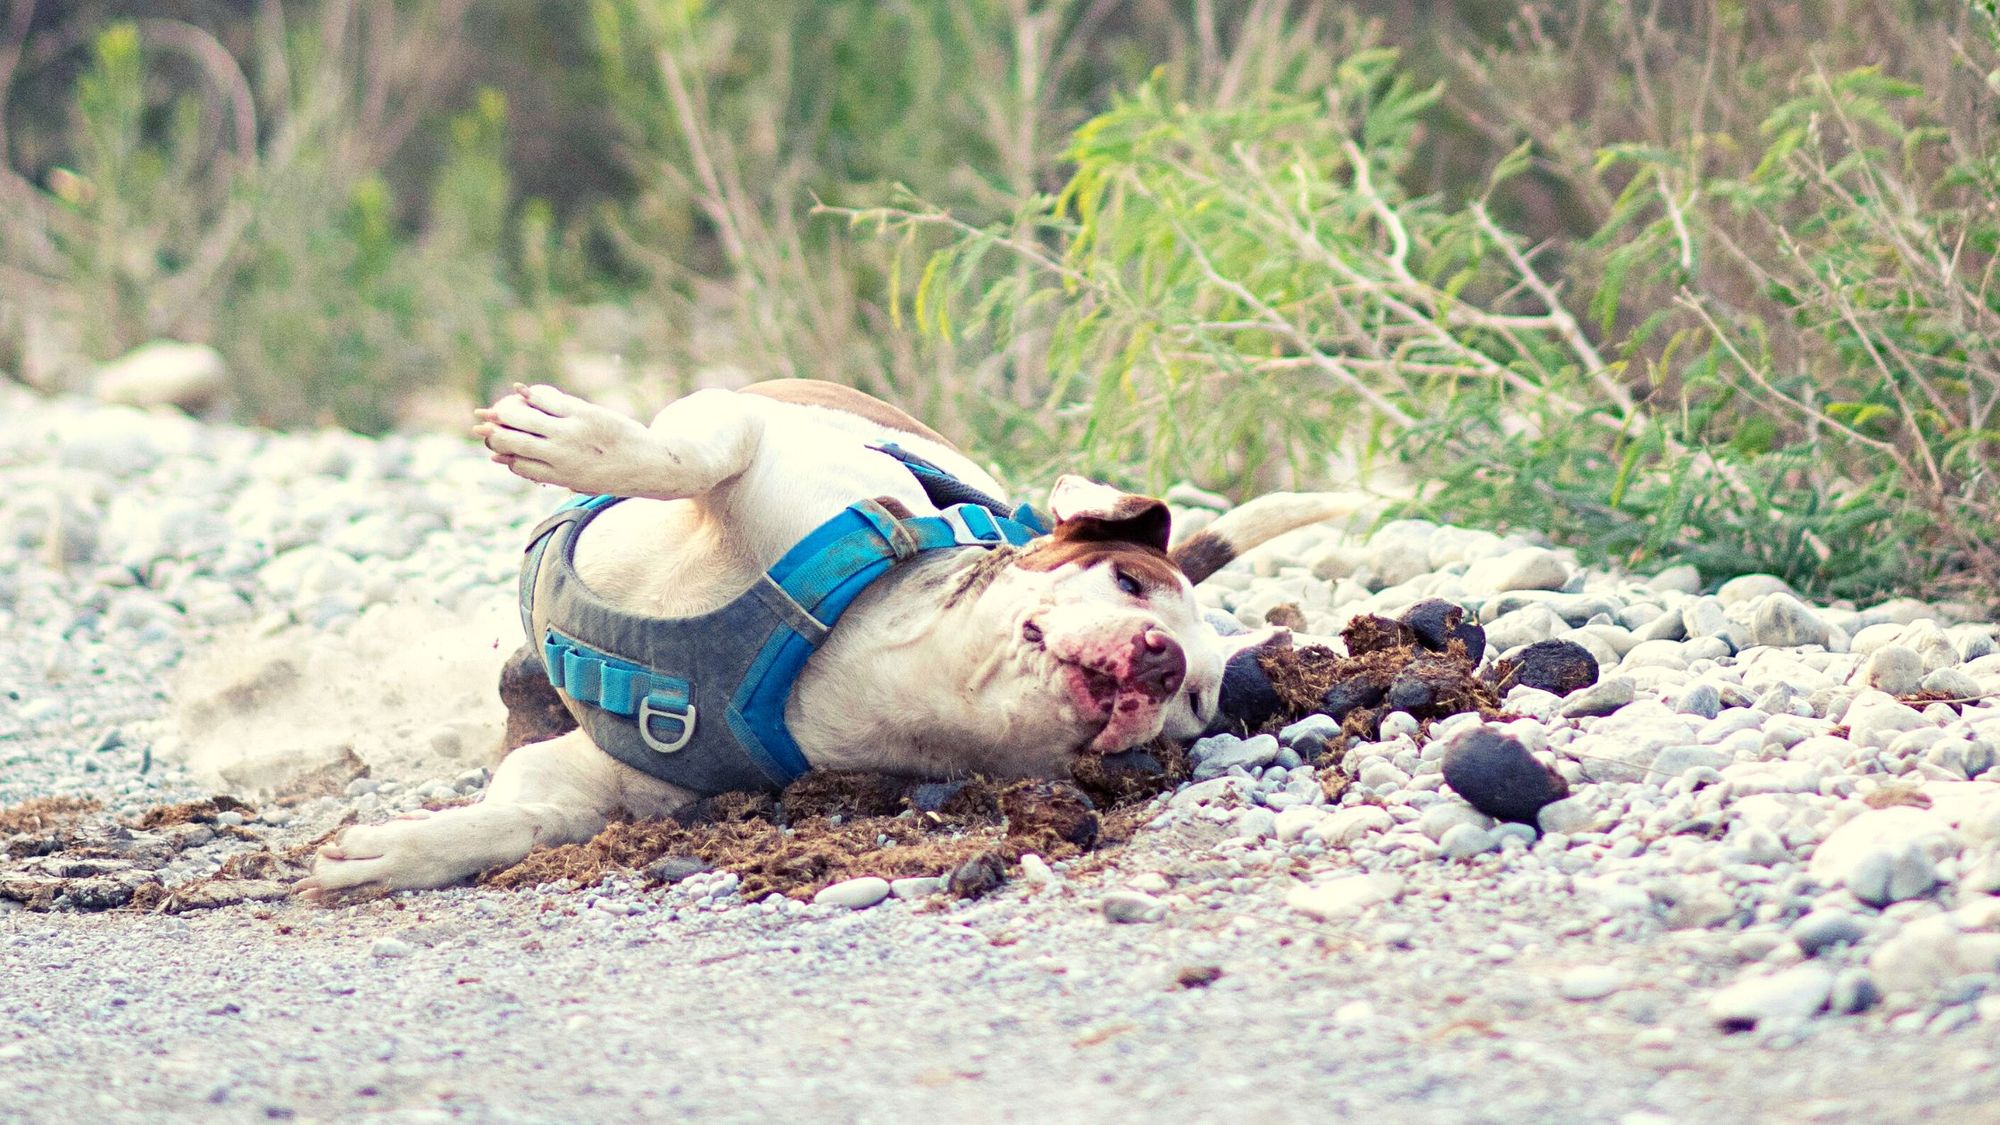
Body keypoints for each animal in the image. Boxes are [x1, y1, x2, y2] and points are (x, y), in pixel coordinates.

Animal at [292, 376, 1360, 892]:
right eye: (1131, 579)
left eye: (1195, 702)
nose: (1161, 656)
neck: (903, 672)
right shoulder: (761, 441)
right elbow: (689, 454)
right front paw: (581, 442)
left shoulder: (612, 781)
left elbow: (524, 815)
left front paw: (401, 853)